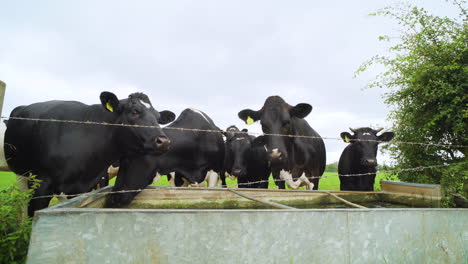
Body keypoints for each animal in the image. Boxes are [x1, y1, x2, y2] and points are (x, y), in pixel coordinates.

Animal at [5, 92, 175, 216]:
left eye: (158, 118)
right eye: (134, 112)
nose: (164, 141)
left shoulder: (82, 187)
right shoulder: (42, 182)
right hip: (22, 174)